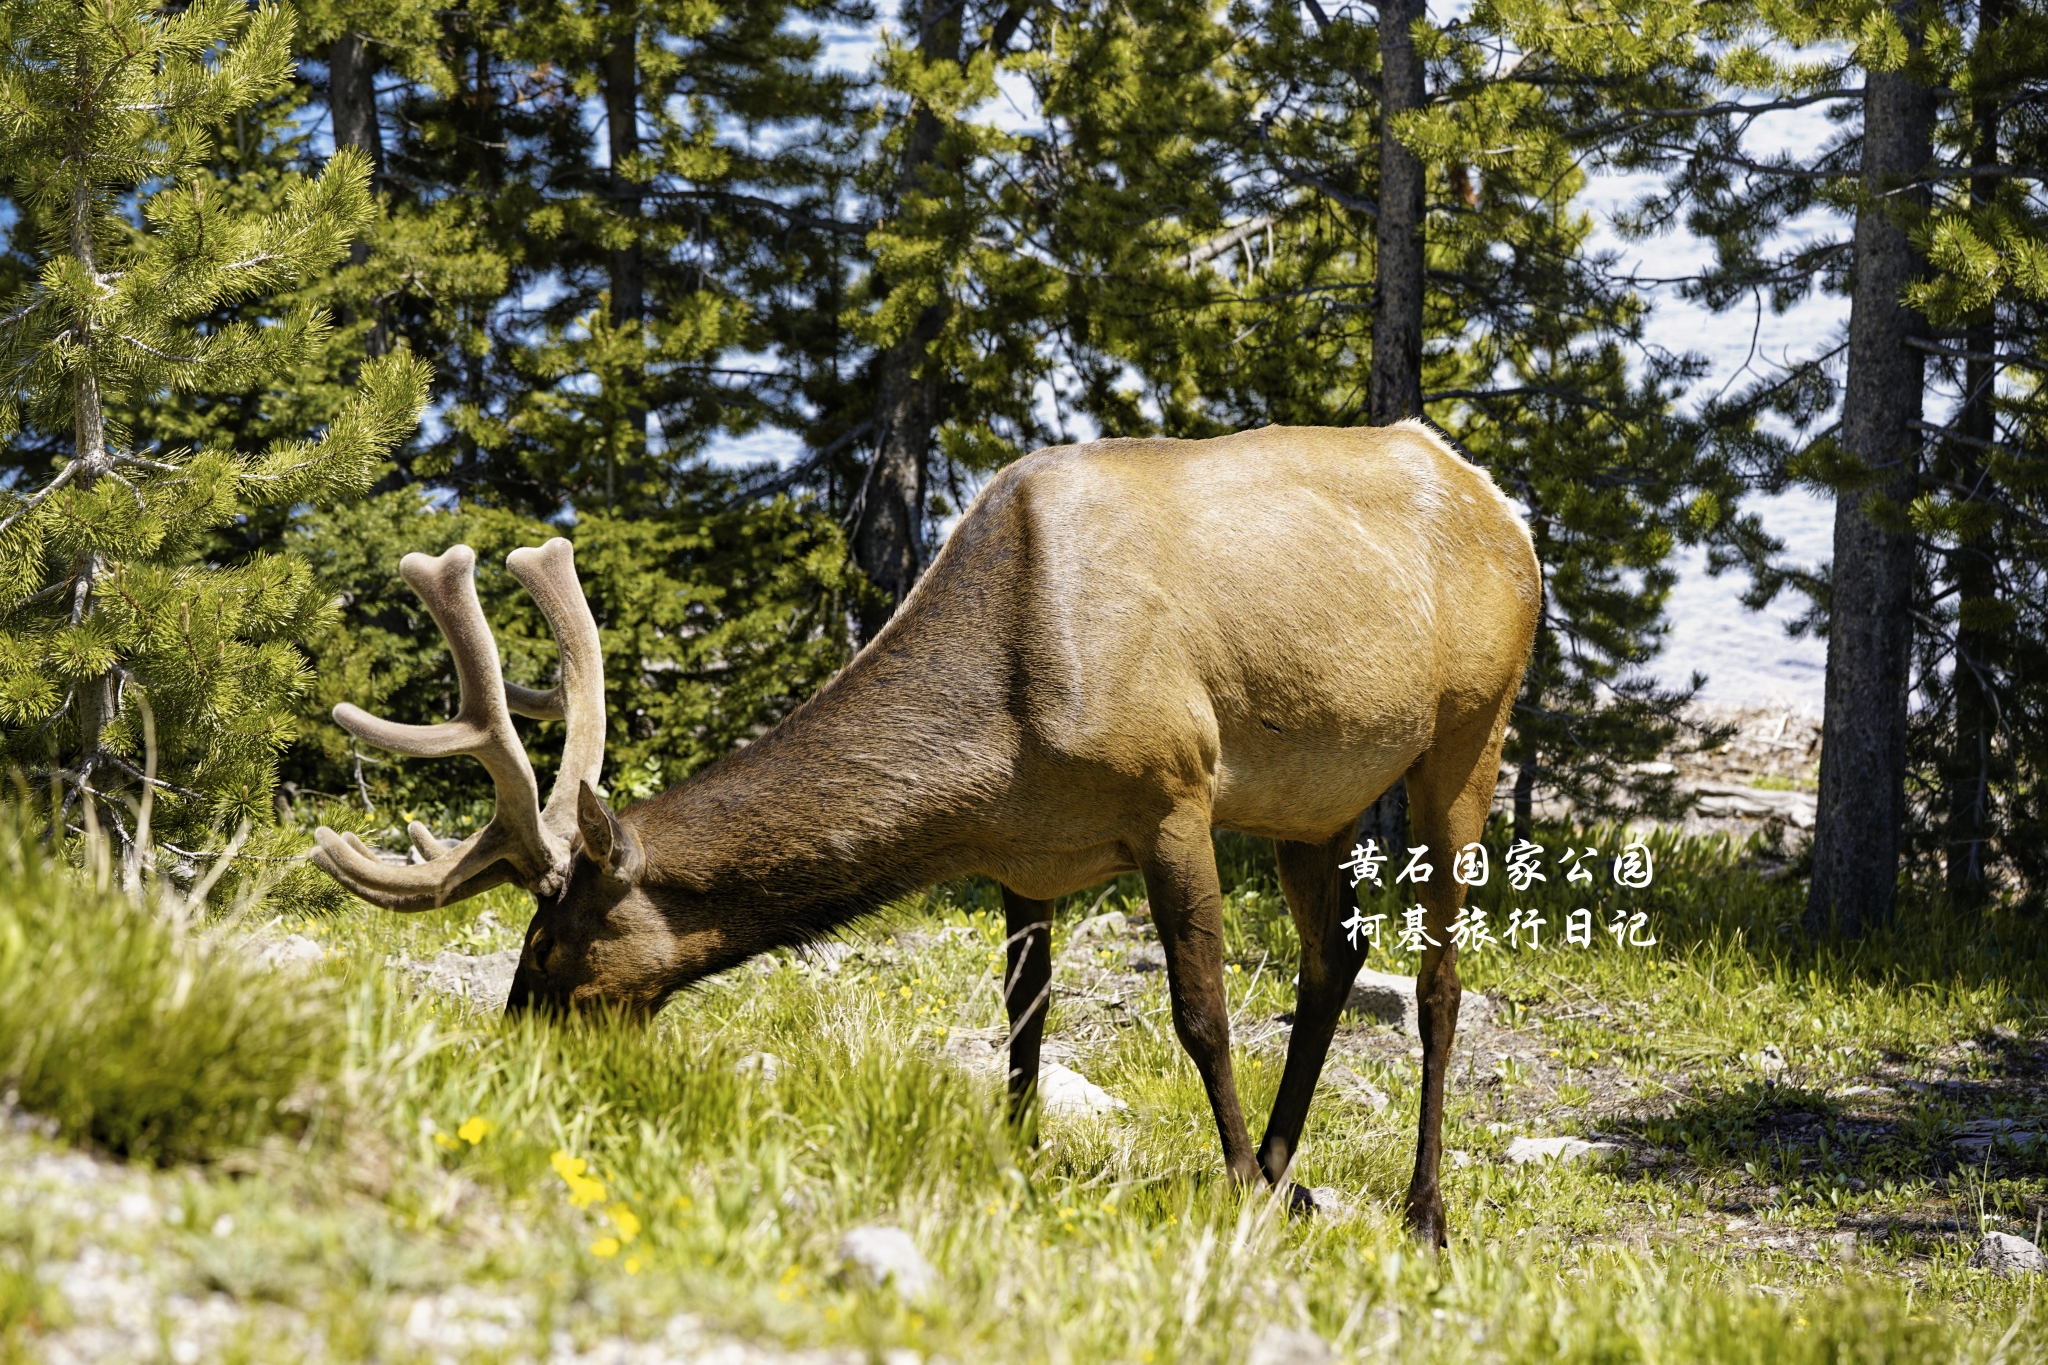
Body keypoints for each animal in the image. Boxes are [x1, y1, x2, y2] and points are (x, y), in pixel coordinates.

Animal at [311, 421, 1540, 1244]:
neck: (994, 748)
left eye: (545, 939)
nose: (509, 1049)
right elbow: (1023, 1021)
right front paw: (1021, 1158)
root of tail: (1501, 505)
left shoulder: (1174, 793)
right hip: (1310, 801)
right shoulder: (1026, 854)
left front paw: (1232, 1188)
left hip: (1468, 731)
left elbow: (1199, 1014)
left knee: (1439, 980)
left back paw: (1419, 1209)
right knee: (1338, 953)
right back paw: (1295, 1174)